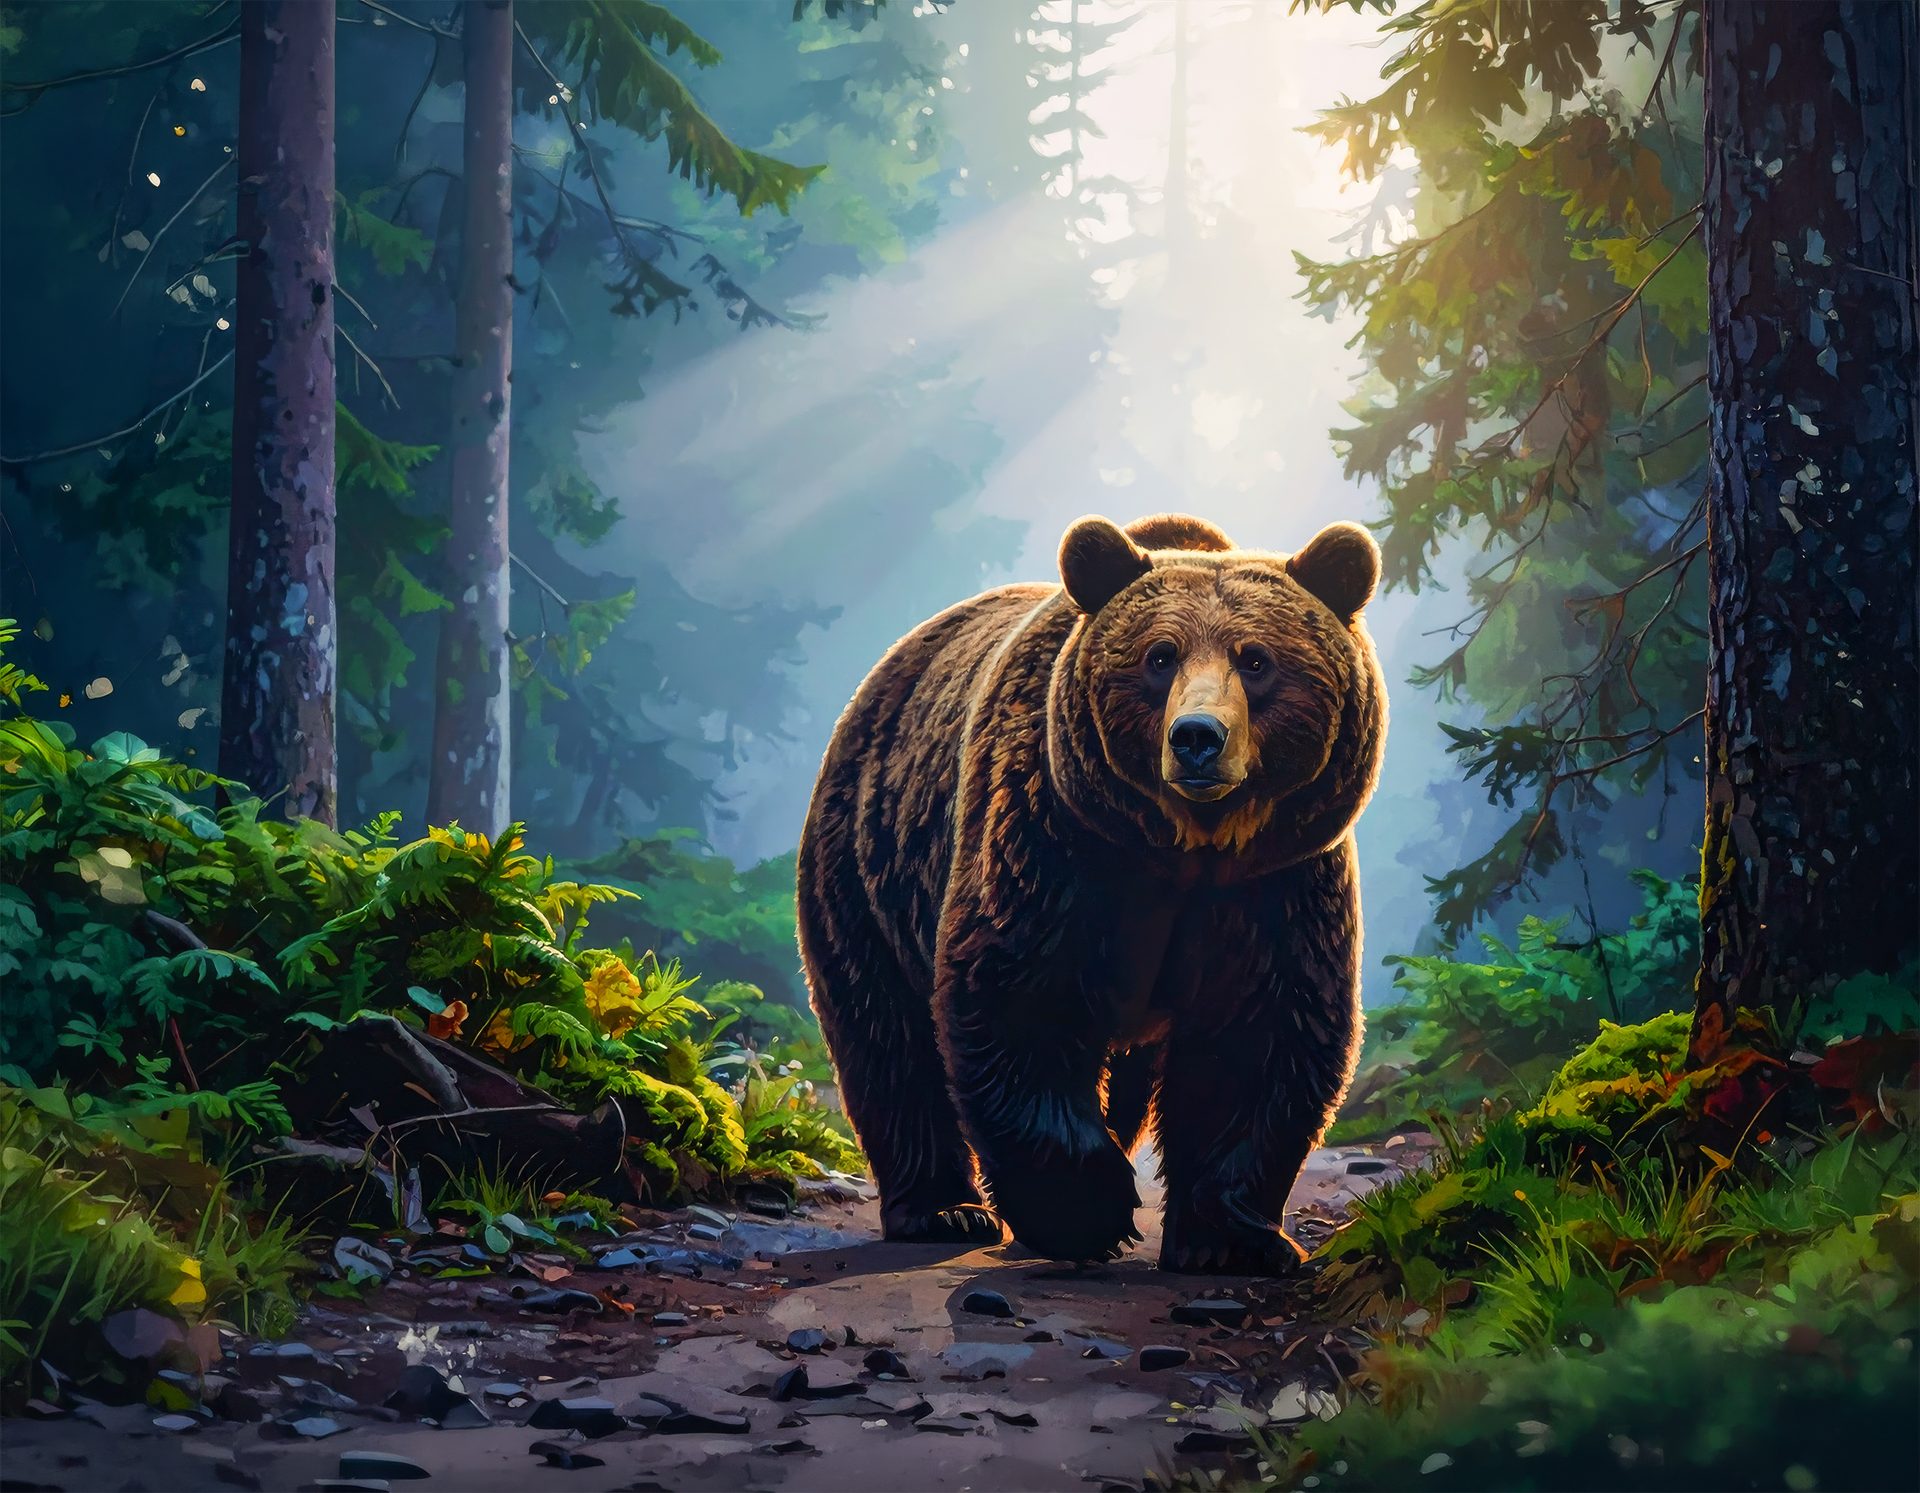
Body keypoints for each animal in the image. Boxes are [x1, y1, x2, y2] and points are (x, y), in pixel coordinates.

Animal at [796, 512, 1387, 1272]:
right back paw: (945, 1209)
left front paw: (1232, 1240)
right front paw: (1088, 1211)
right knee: (886, 1033)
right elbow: (1020, 997)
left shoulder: (1276, 885)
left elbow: (1257, 1037)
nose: (1197, 737)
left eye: (1256, 660)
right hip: (868, 864)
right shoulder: (1055, 844)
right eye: (1160, 657)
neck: (1184, 850)